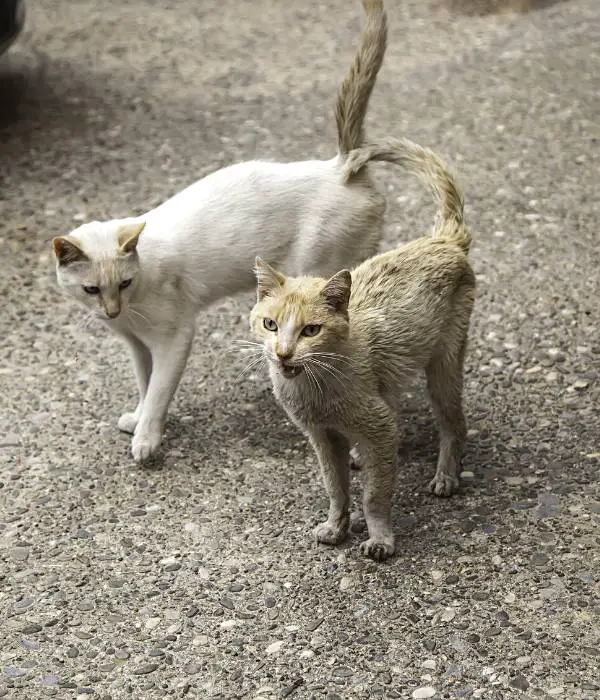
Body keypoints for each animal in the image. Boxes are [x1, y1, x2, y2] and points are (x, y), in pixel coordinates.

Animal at [52, 0, 404, 462]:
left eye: (123, 284)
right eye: (91, 290)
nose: (110, 311)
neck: (130, 310)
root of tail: (340, 166)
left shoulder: (174, 338)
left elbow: (159, 392)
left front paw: (147, 439)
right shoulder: (137, 345)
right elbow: (145, 386)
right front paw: (137, 420)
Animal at [248, 139, 474, 560]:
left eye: (311, 330)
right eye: (270, 325)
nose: (283, 353)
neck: (317, 390)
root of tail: (441, 239)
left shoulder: (378, 427)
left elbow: (374, 495)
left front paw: (380, 538)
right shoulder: (321, 438)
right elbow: (335, 489)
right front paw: (337, 527)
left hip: (445, 367)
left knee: (454, 425)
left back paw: (446, 476)